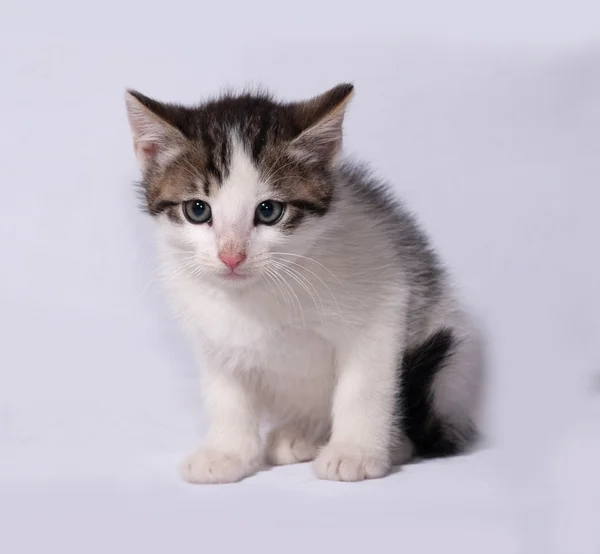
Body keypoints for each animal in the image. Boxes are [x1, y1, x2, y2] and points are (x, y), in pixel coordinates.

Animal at [124, 84, 480, 480]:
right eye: (198, 210)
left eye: (268, 211)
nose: (232, 256)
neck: (258, 293)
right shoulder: (210, 331)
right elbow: (226, 392)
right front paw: (227, 452)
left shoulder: (384, 299)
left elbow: (363, 386)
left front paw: (354, 452)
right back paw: (303, 435)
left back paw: (390, 444)